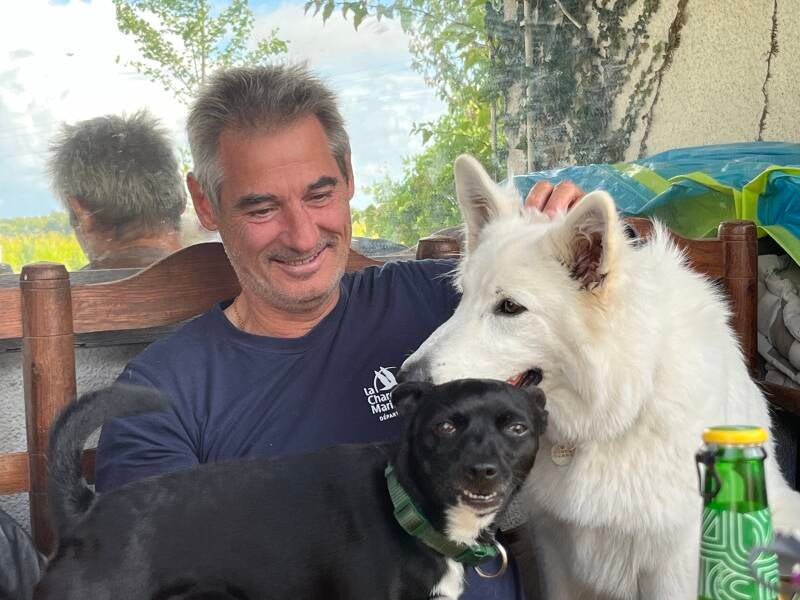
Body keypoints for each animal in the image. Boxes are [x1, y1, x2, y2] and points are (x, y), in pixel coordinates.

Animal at [399, 154, 800, 599]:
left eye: (509, 307)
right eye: (463, 299)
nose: (404, 381)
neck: (618, 413)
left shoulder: (674, 564)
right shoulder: (554, 550)